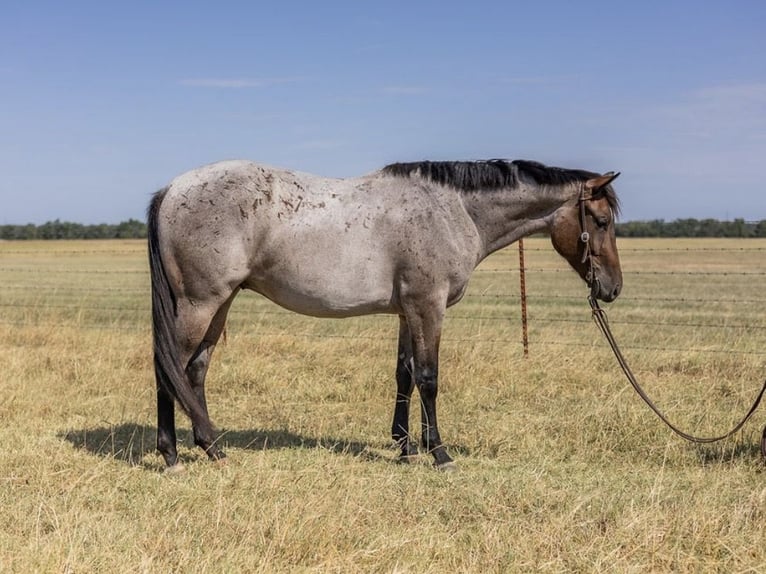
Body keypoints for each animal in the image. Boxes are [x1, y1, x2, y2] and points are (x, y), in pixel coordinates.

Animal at [147, 159, 622, 472]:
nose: (613, 288)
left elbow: (404, 375)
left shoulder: (407, 312)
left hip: (220, 304)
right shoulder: (428, 307)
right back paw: (171, 455)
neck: (452, 210)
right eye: (600, 221)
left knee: (195, 370)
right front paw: (438, 453)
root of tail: (171, 189)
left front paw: (405, 447)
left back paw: (212, 447)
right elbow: (429, 378)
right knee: (168, 368)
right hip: (200, 303)